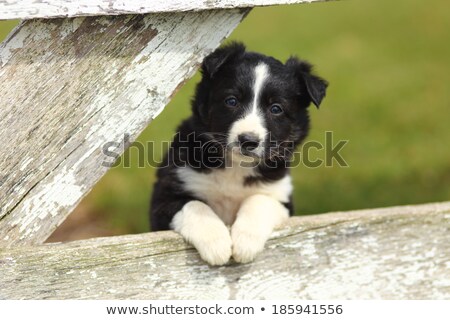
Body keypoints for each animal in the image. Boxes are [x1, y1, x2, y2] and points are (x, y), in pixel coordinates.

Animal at [150, 42, 326, 264]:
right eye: (232, 101)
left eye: (276, 108)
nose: (248, 140)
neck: (235, 167)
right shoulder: (165, 196)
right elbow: (194, 205)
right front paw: (216, 243)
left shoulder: (281, 197)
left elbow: (259, 200)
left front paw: (245, 242)